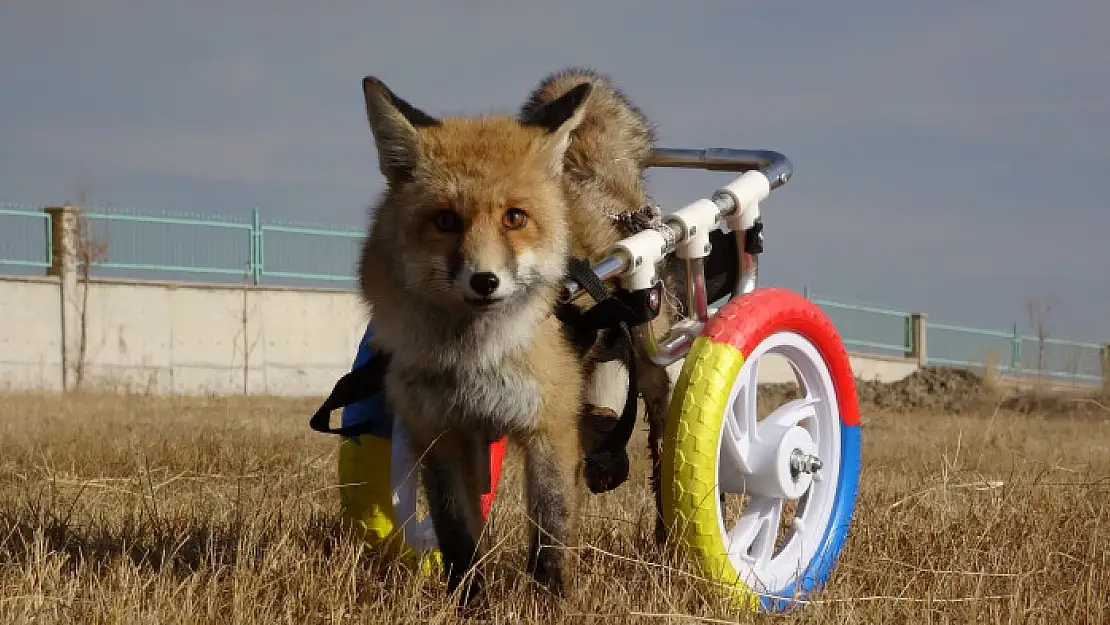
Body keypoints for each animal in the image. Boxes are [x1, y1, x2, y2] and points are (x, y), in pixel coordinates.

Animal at [359, 69, 674, 612]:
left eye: (514, 218)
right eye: (446, 220)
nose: (485, 281)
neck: (474, 358)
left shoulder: (548, 426)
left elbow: (550, 531)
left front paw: (548, 603)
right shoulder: (439, 432)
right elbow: (458, 535)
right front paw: (469, 603)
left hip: (652, 367)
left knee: (658, 447)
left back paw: (667, 541)